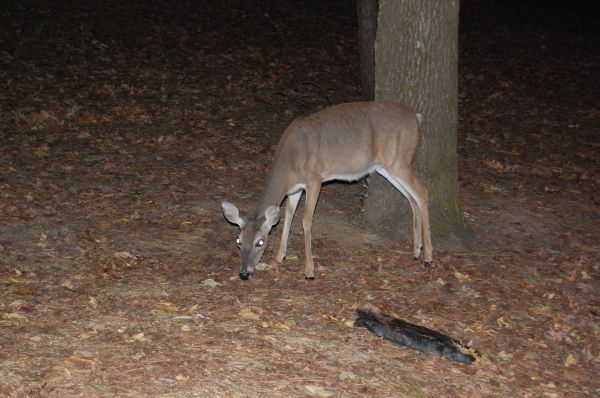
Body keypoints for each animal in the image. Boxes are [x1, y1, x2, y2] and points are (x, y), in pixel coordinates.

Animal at [220, 99, 432, 280]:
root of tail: (417, 117)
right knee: (411, 198)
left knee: (422, 192)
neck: (290, 162)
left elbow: (306, 220)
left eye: (260, 242)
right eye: (239, 241)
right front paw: (280, 256)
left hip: (398, 159)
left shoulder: (315, 179)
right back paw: (416, 250)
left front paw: (309, 270)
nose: (244, 273)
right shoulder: (295, 189)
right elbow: (288, 214)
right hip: (385, 166)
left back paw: (428, 257)